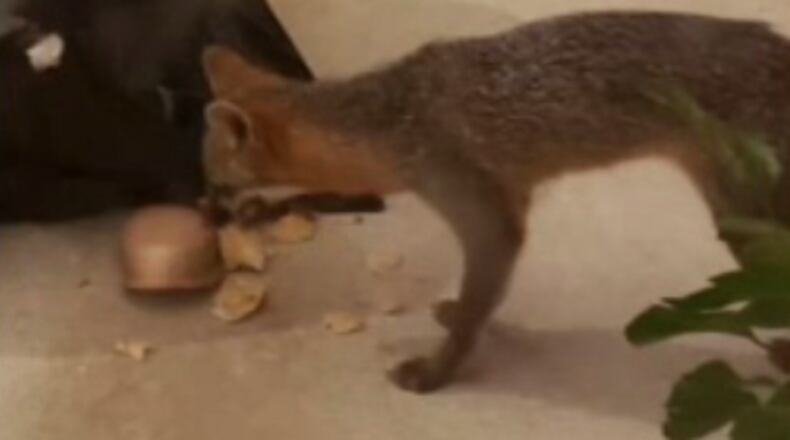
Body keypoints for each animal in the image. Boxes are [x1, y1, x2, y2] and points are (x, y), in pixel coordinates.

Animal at [200, 11, 790, 393]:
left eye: (213, 182)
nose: (205, 212)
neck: (398, 112)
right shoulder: (502, 199)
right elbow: (477, 298)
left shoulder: (486, 218)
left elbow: (472, 313)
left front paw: (436, 372)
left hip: (749, 228)